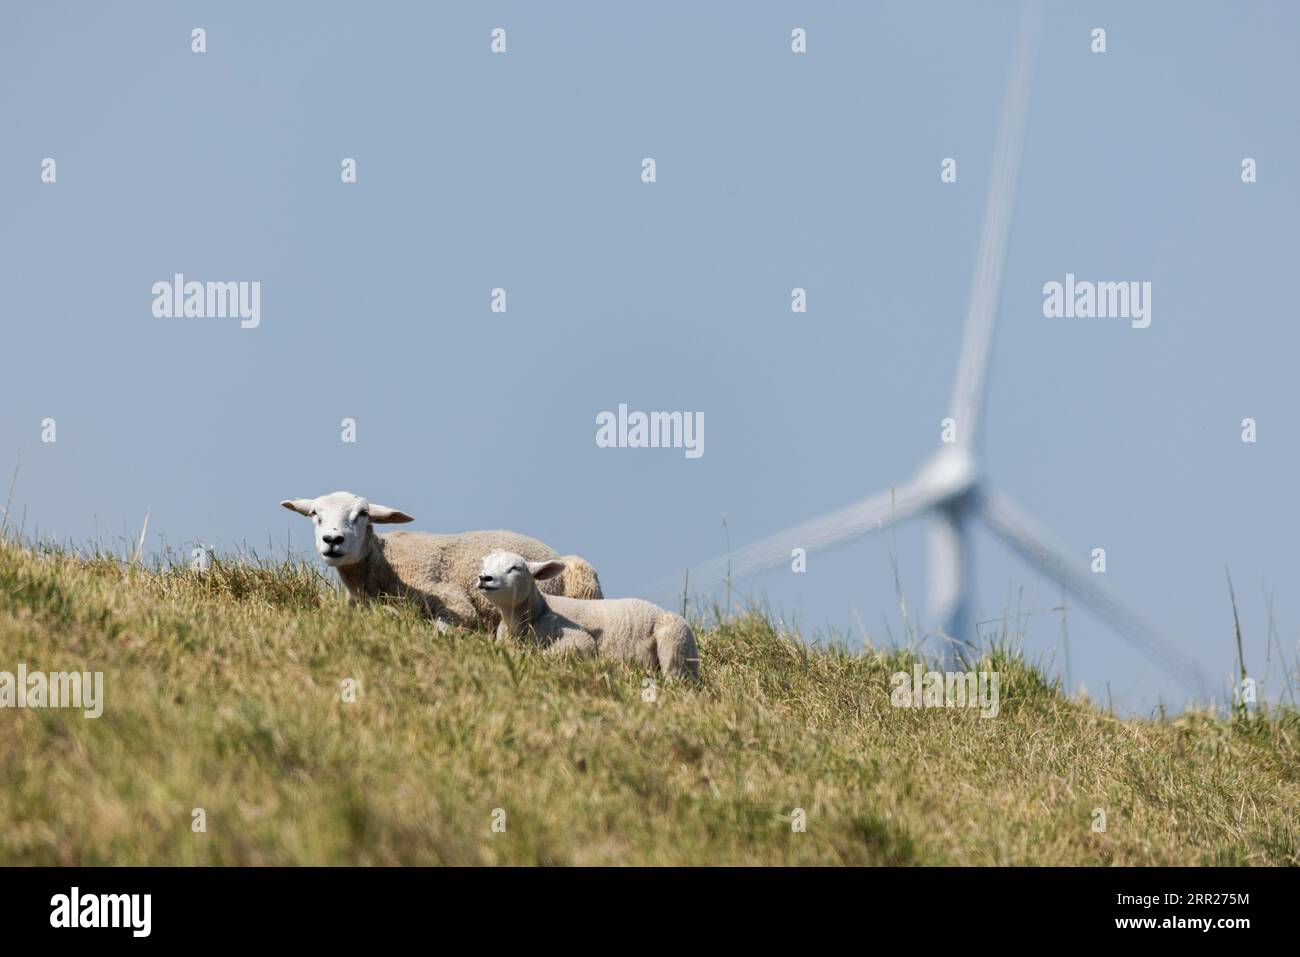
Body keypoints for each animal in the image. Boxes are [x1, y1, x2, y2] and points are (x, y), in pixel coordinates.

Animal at [475, 548, 696, 676]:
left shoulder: (579, 639)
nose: (485, 578)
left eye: (515, 568)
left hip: (675, 639)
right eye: (484, 564)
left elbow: (548, 654)